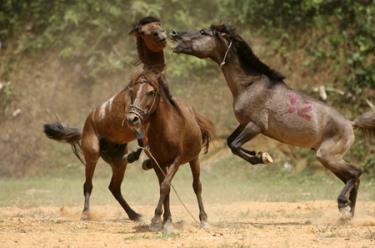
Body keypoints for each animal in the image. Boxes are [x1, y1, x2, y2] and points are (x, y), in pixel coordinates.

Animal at [42, 16, 167, 221]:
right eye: (145, 32)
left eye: (159, 25)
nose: (162, 36)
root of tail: (84, 128)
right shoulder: (131, 117)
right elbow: (140, 135)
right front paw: (139, 156)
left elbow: (147, 141)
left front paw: (142, 158)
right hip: (92, 154)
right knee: (88, 185)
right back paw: (85, 214)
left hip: (117, 163)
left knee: (114, 188)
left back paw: (134, 214)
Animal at [126, 70, 214, 231]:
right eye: (132, 91)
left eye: (151, 92)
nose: (132, 118)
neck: (165, 129)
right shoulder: (158, 162)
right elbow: (165, 188)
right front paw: (166, 221)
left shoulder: (176, 161)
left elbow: (165, 186)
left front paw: (156, 219)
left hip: (194, 159)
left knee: (197, 186)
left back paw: (204, 219)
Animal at [172, 23, 375, 217]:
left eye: (203, 32)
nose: (174, 34)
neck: (250, 85)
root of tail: (350, 124)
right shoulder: (244, 123)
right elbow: (230, 143)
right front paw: (261, 156)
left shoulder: (256, 125)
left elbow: (235, 145)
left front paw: (263, 158)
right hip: (330, 158)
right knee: (353, 178)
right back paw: (347, 215)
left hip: (327, 156)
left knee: (356, 173)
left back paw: (343, 204)